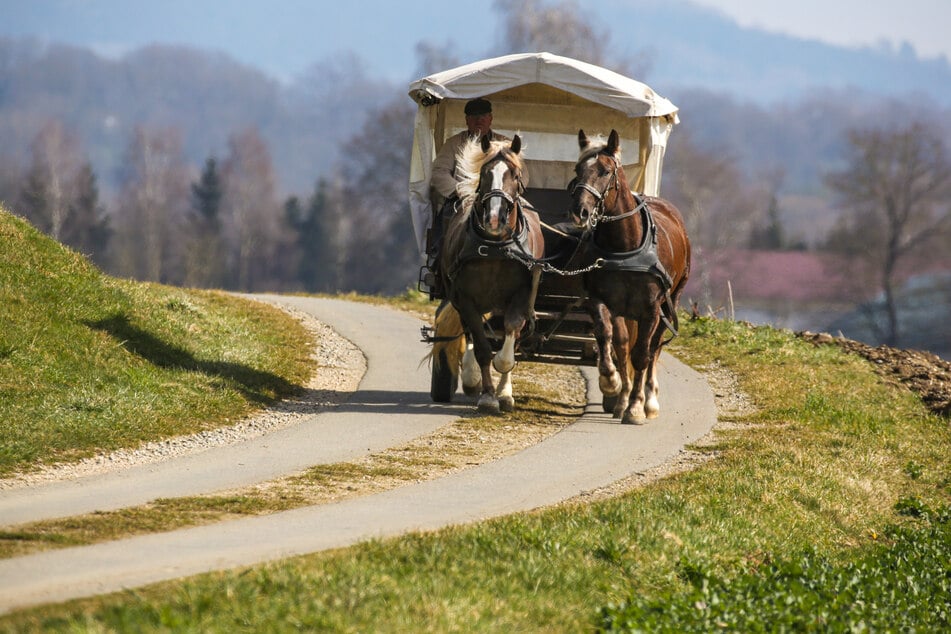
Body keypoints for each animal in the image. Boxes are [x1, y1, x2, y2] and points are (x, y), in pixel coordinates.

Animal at [432, 132, 544, 414]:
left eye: (515, 174)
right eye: (484, 173)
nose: (494, 218)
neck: (495, 247)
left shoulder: (521, 296)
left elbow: (508, 345)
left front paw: (502, 393)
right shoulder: (465, 298)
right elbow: (481, 346)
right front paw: (486, 395)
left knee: (512, 336)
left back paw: (504, 390)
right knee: (471, 333)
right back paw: (473, 379)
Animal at [564, 127, 692, 424]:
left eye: (605, 171)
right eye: (578, 168)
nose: (580, 211)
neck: (624, 248)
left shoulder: (652, 310)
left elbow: (643, 354)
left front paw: (636, 406)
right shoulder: (601, 301)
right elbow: (609, 339)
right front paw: (612, 384)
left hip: (671, 302)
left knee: (654, 348)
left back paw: (649, 399)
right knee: (623, 347)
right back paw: (622, 397)